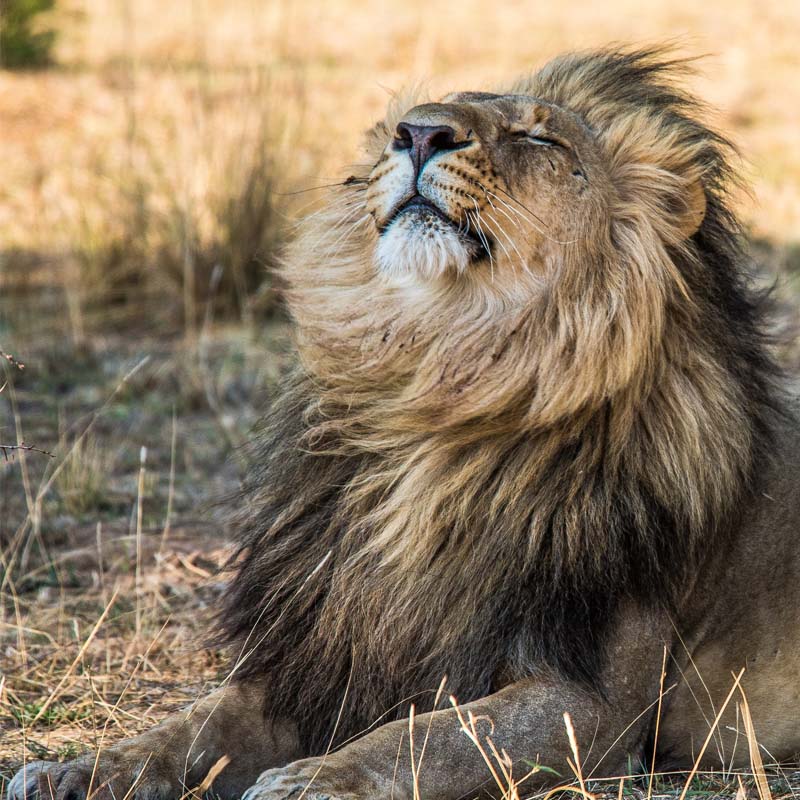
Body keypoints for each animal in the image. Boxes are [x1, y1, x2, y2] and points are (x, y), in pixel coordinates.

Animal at [10, 46, 800, 800]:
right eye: (407, 121)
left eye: (538, 136)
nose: (419, 133)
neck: (437, 388)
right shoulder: (320, 652)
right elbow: (189, 725)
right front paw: (77, 769)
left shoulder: (595, 705)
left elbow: (429, 737)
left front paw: (312, 781)